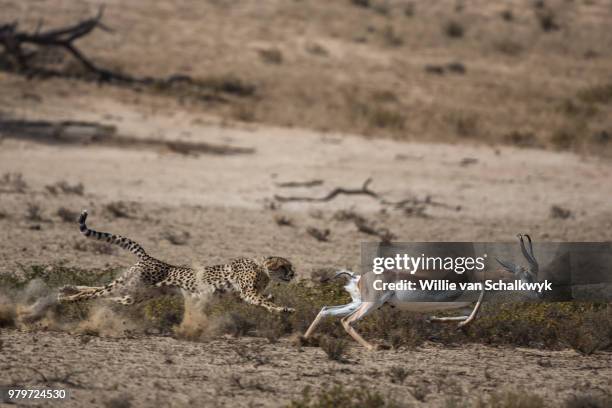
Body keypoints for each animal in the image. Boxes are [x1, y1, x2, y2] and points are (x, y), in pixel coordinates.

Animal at [57, 210, 296, 312]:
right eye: (284, 266)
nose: (293, 274)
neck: (263, 270)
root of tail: (149, 257)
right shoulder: (248, 292)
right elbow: (264, 301)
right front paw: (283, 309)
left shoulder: (241, 295)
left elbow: (263, 298)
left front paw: (276, 301)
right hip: (129, 286)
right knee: (97, 292)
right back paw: (66, 298)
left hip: (133, 295)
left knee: (99, 292)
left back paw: (66, 290)